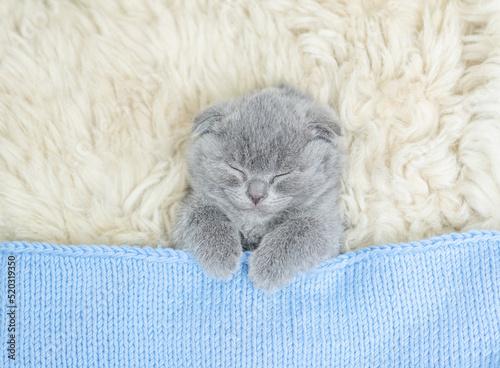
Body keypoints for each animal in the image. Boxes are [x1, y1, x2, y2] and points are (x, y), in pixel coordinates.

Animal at [172, 85, 344, 292]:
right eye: (236, 168)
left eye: (282, 174)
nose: (256, 195)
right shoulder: (189, 206)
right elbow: (200, 212)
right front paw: (220, 255)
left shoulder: (329, 220)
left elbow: (307, 227)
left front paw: (268, 267)